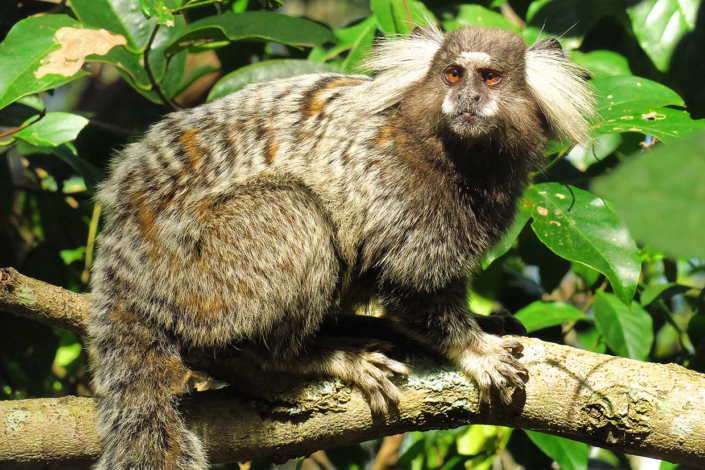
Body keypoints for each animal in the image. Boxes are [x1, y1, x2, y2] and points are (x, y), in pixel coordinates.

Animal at [86, 23, 592, 470]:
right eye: (452, 74)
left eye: (490, 78)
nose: (467, 98)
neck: (462, 160)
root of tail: (124, 259)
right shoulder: (395, 187)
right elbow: (414, 289)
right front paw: (474, 349)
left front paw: (488, 322)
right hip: (203, 269)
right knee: (294, 211)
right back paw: (318, 357)